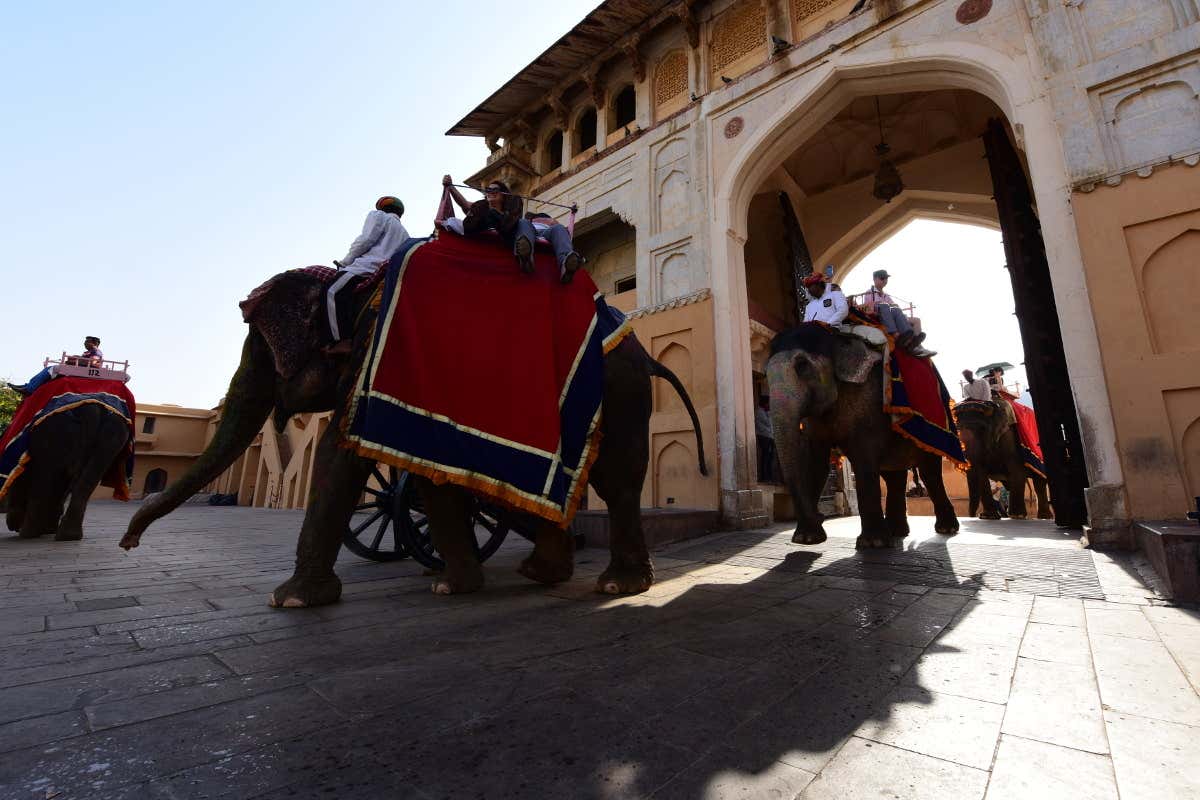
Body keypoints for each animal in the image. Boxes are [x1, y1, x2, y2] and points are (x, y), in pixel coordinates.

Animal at [2, 402, 131, 542]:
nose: (12, 527)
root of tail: (92, 409)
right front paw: (48, 529)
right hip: (114, 434)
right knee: (88, 479)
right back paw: (68, 535)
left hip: (56, 431)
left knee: (44, 476)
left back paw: (28, 533)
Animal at [118, 268, 705, 606]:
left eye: (259, 351)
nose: (128, 543)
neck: (358, 291)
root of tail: (643, 350)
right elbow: (425, 474)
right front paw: (453, 585)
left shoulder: (376, 353)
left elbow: (341, 453)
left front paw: (292, 601)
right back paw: (542, 573)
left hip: (620, 391)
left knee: (618, 480)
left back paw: (617, 586)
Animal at [768, 326, 955, 551]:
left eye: (802, 366)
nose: (820, 516)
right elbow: (816, 463)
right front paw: (807, 539)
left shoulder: (868, 398)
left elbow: (863, 457)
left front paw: (873, 544)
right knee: (894, 476)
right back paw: (896, 532)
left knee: (930, 471)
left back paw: (945, 529)